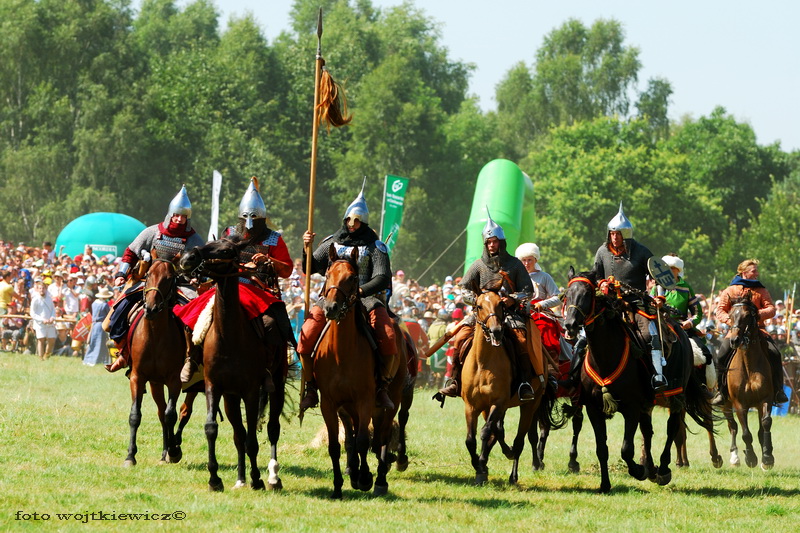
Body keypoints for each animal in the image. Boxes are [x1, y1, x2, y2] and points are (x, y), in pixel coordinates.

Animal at [123, 249, 186, 466]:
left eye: (169, 278)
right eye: (148, 275)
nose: (150, 308)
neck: (155, 335)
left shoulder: (175, 380)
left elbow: (171, 415)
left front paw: (174, 452)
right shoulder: (138, 377)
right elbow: (135, 415)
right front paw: (130, 456)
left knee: (174, 412)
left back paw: (171, 448)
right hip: (155, 384)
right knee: (160, 412)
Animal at [178, 237, 286, 491]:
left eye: (225, 250)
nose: (187, 258)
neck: (229, 337)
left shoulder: (251, 391)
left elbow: (253, 439)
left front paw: (257, 479)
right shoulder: (215, 387)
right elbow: (212, 428)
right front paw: (215, 479)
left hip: (277, 383)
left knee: (272, 428)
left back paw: (272, 477)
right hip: (231, 397)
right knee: (239, 434)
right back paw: (240, 478)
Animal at [313, 246, 407, 499]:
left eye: (353, 278)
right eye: (328, 275)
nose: (331, 308)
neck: (341, 352)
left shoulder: (365, 399)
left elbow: (364, 440)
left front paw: (365, 478)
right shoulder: (330, 403)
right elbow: (336, 445)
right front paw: (338, 486)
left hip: (391, 399)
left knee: (382, 435)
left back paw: (380, 479)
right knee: (353, 437)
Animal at [563, 268, 715, 492]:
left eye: (587, 294)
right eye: (567, 294)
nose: (570, 325)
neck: (606, 355)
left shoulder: (631, 408)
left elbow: (626, 449)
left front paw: (638, 471)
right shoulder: (594, 408)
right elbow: (602, 448)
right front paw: (605, 484)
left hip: (675, 395)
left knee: (672, 428)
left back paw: (662, 470)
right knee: (648, 431)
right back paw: (651, 468)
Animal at [719, 296, 775, 469]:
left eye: (748, 316)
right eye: (730, 315)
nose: (735, 340)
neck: (749, 366)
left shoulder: (765, 399)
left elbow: (766, 424)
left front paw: (767, 458)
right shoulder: (739, 404)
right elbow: (745, 433)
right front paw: (750, 458)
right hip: (726, 405)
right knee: (733, 427)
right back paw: (735, 457)